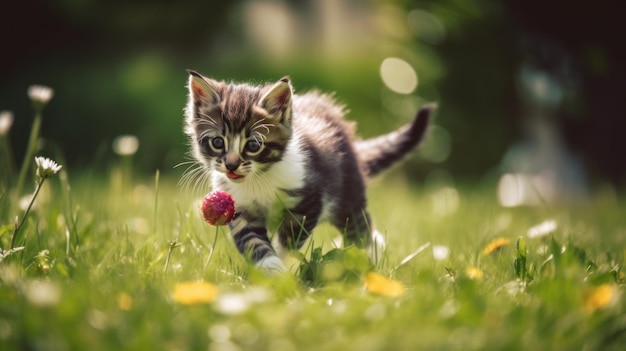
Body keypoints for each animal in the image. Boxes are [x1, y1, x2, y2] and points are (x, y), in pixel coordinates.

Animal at [183, 69, 432, 272]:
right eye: (217, 142)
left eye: (253, 145)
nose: (231, 164)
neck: (259, 178)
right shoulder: (241, 208)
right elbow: (252, 240)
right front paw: (272, 269)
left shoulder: (309, 199)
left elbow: (290, 240)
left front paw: (285, 265)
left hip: (347, 191)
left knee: (358, 226)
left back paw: (371, 253)